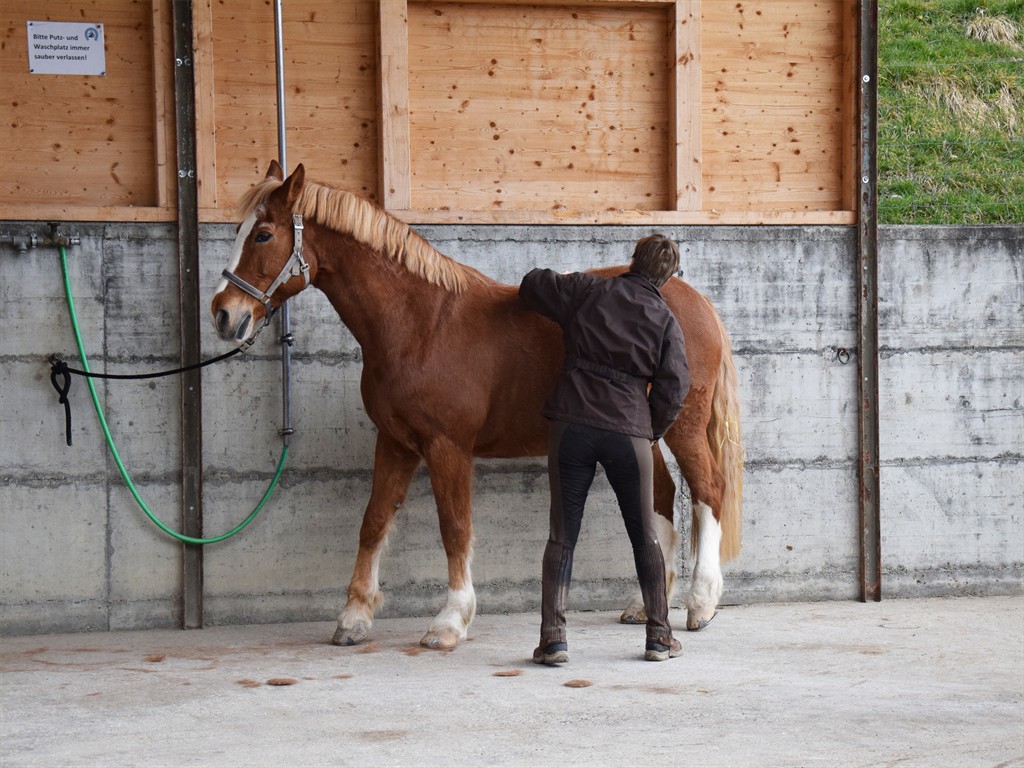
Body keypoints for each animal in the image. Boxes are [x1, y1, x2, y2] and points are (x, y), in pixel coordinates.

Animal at [211, 163, 741, 651]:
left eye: (263, 234)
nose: (223, 314)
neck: (419, 324)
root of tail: (697, 302)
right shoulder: (396, 442)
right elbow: (374, 521)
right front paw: (354, 618)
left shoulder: (447, 447)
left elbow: (454, 526)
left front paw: (449, 622)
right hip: (643, 433)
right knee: (662, 495)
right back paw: (645, 605)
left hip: (683, 426)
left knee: (707, 489)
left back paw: (701, 604)